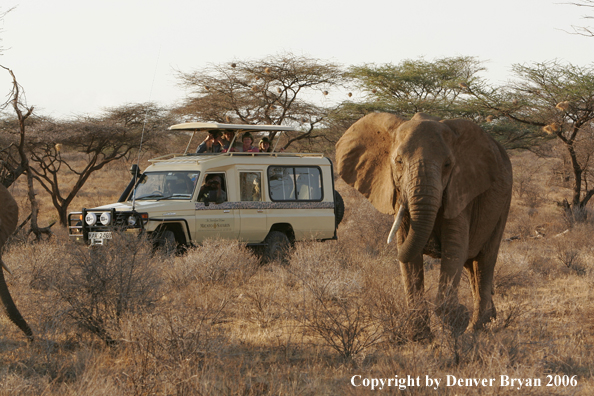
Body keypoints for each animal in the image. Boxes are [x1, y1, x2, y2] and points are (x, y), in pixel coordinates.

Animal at [336, 112, 512, 340]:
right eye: (399, 162)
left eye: (447, 164)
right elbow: (410, 256)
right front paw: (420, 336)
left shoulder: (460, 190)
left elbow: (454, 249)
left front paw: (455, 321)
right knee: (471, 263)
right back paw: (487, 318)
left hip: (503, 203)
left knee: (484, 259)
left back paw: (476, 328)